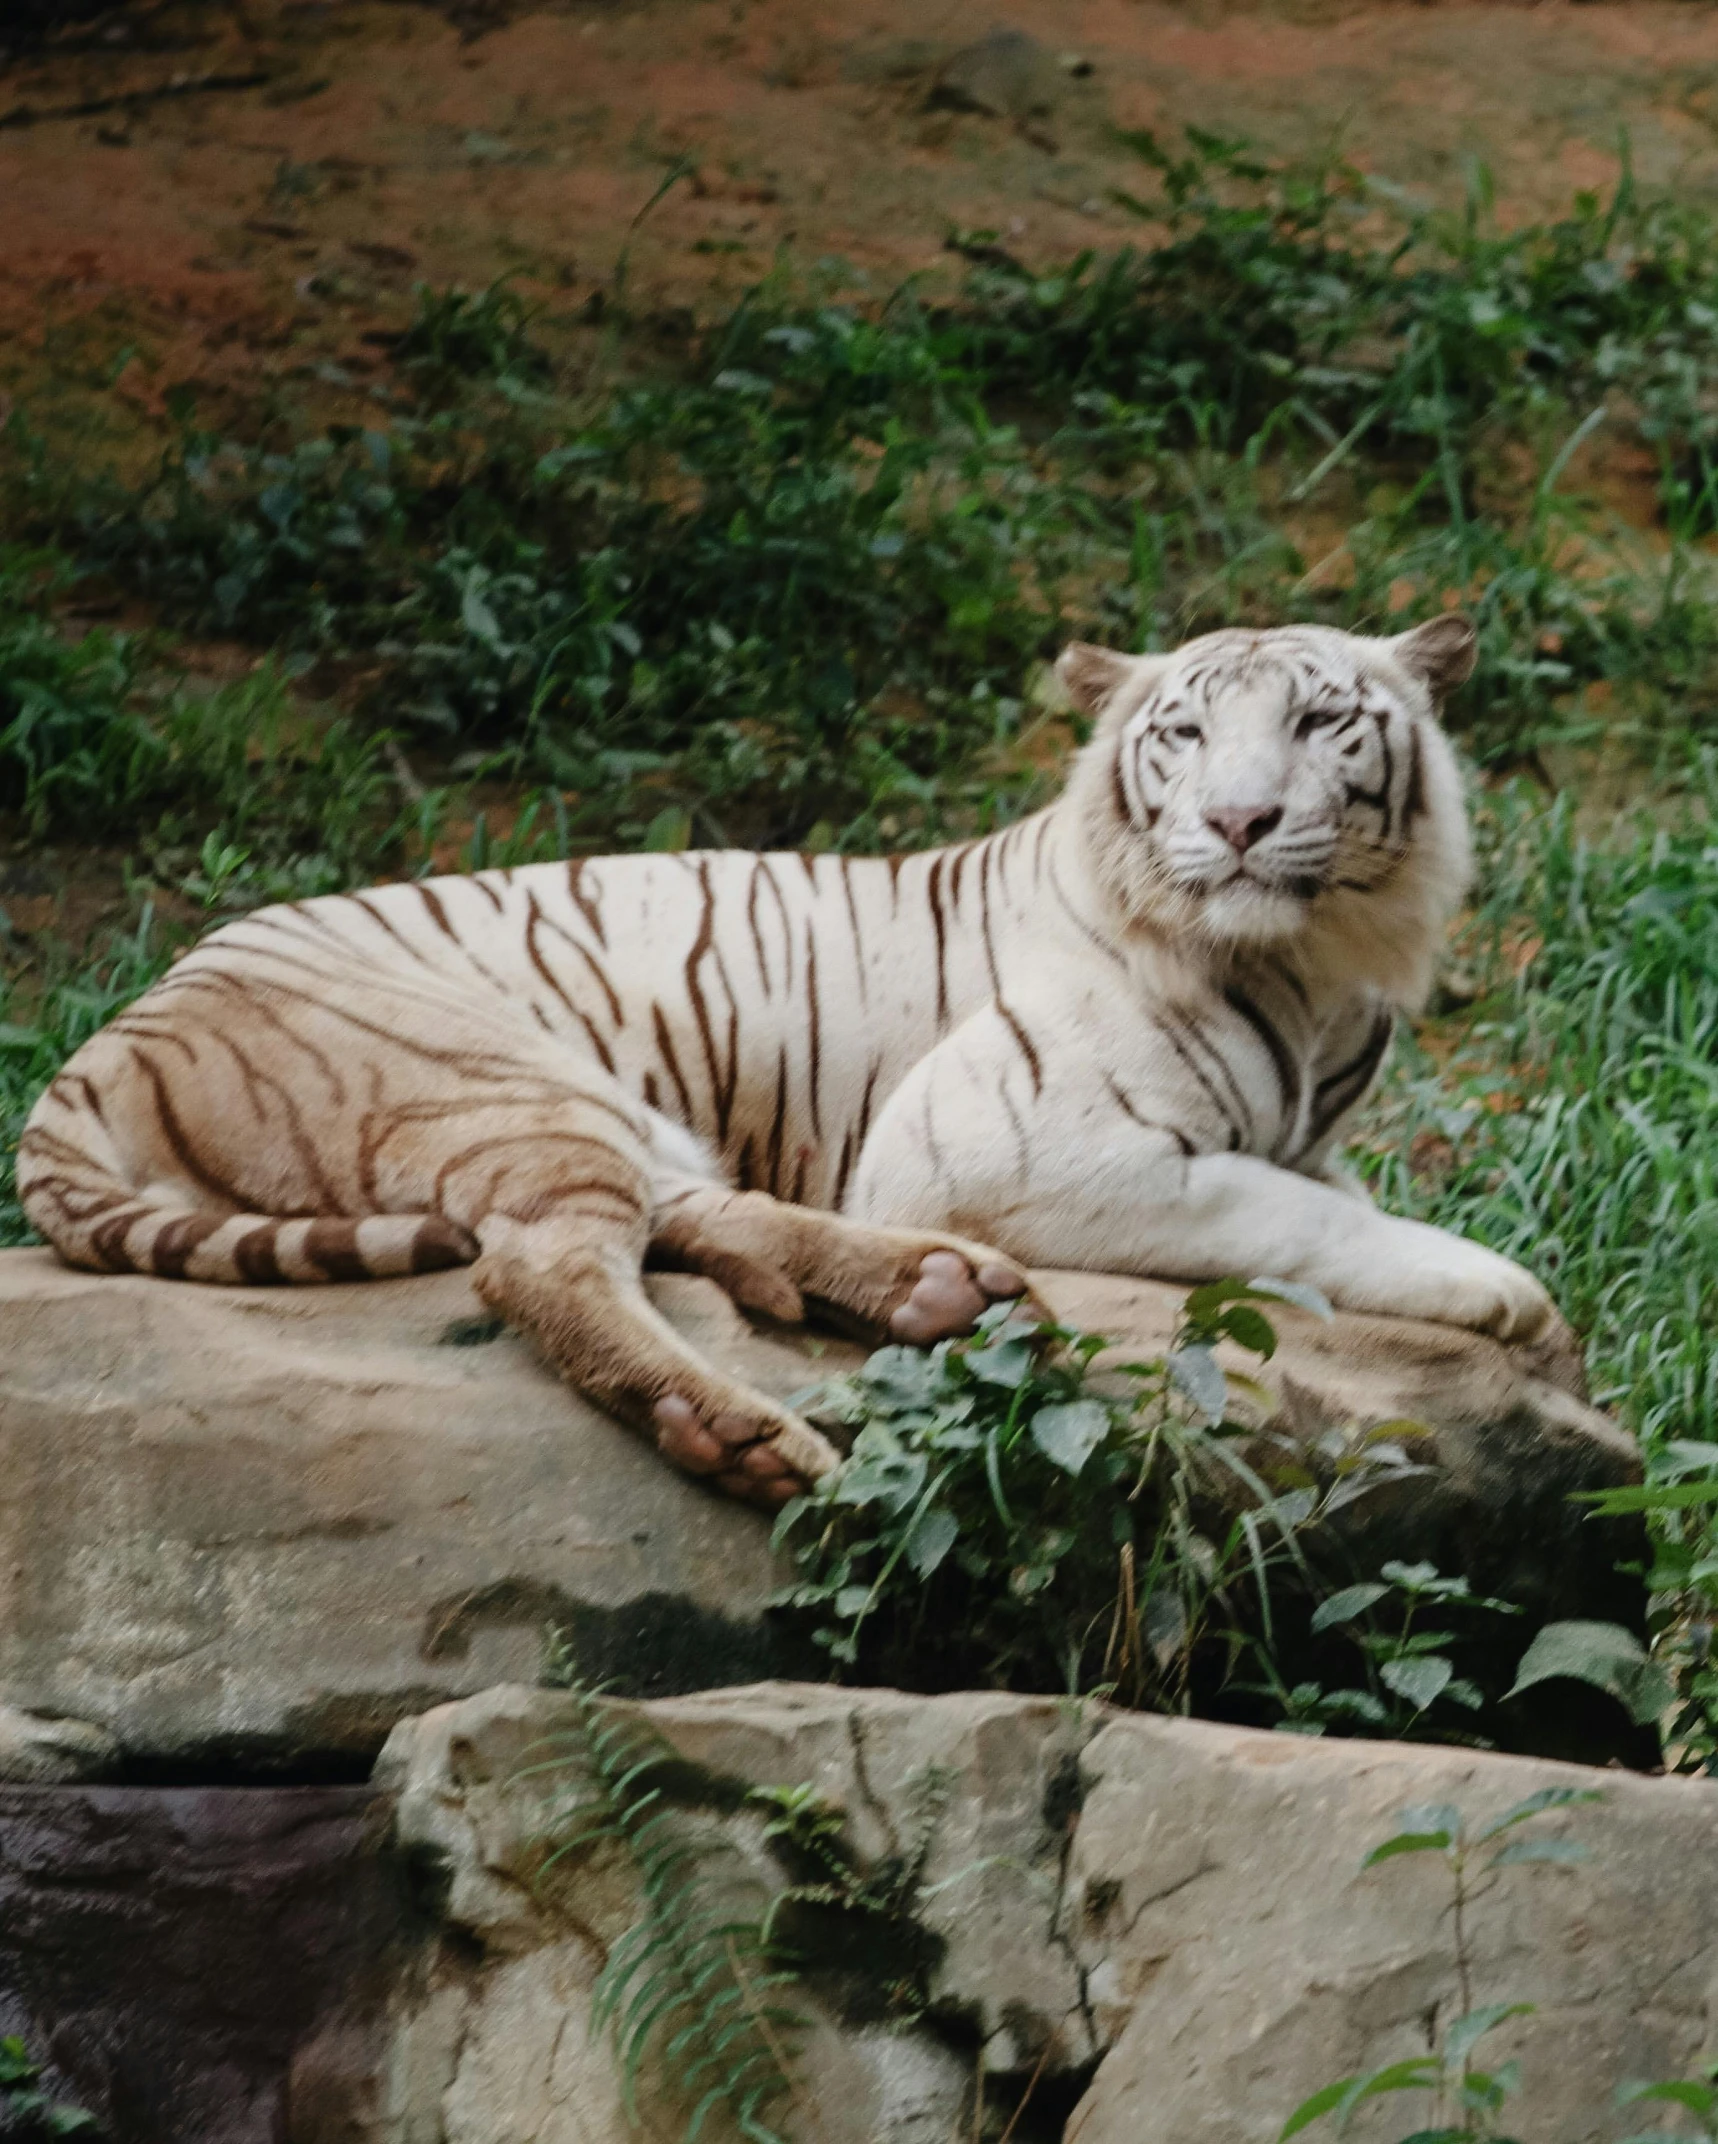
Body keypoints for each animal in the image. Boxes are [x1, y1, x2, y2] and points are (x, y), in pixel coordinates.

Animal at [16, 621, 1570, 1509]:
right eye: (1183, 733)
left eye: (1317, 722)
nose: (1239, 823)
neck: (1314, 964)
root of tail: (119, 1026)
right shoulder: (1004, 1141)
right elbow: (1291, 1212)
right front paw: (1507, 1296)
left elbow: (1322, 1189)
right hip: (500, 1072)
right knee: (537, 1263)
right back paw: (742, 1431)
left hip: (607, 1106)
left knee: (667, 1212)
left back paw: (925, 1290)